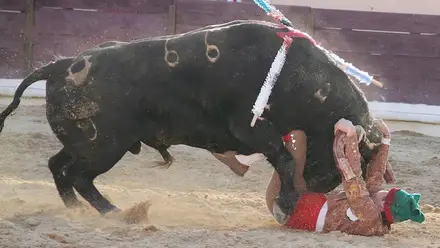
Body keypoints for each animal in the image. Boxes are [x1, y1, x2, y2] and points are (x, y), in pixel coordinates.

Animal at [0, 20, 382, 217]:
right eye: (346, 160)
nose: (314, 194)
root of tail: (62, 65)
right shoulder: (252, 128)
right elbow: (286, 160)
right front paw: (287, 205)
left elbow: (285, 160)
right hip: (104, 146)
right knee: (78, 175)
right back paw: (115, 213)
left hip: (86, 143)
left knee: (58, 165)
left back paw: (75, 210)